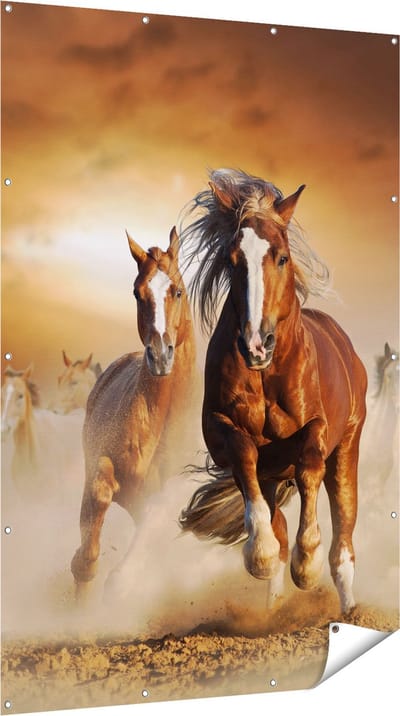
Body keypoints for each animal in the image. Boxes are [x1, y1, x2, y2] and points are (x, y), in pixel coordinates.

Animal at [71, 227, 196, 596]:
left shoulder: (160, 501)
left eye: (178, 290)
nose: (160, 355)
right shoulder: (102, 469)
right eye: (137, 293)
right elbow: (98, 495)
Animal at [179, 168, 367, 614]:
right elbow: (244, 454)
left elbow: (310, 464)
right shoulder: (221, 431)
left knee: (344, 536)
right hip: (271, 475)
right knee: (276, 517)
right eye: (231, 261)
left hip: (348, 448)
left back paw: (348, 606)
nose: (256, 345)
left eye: (281, 256)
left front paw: (307, 563)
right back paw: (275, 602)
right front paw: (260, 554)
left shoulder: (317, 429)